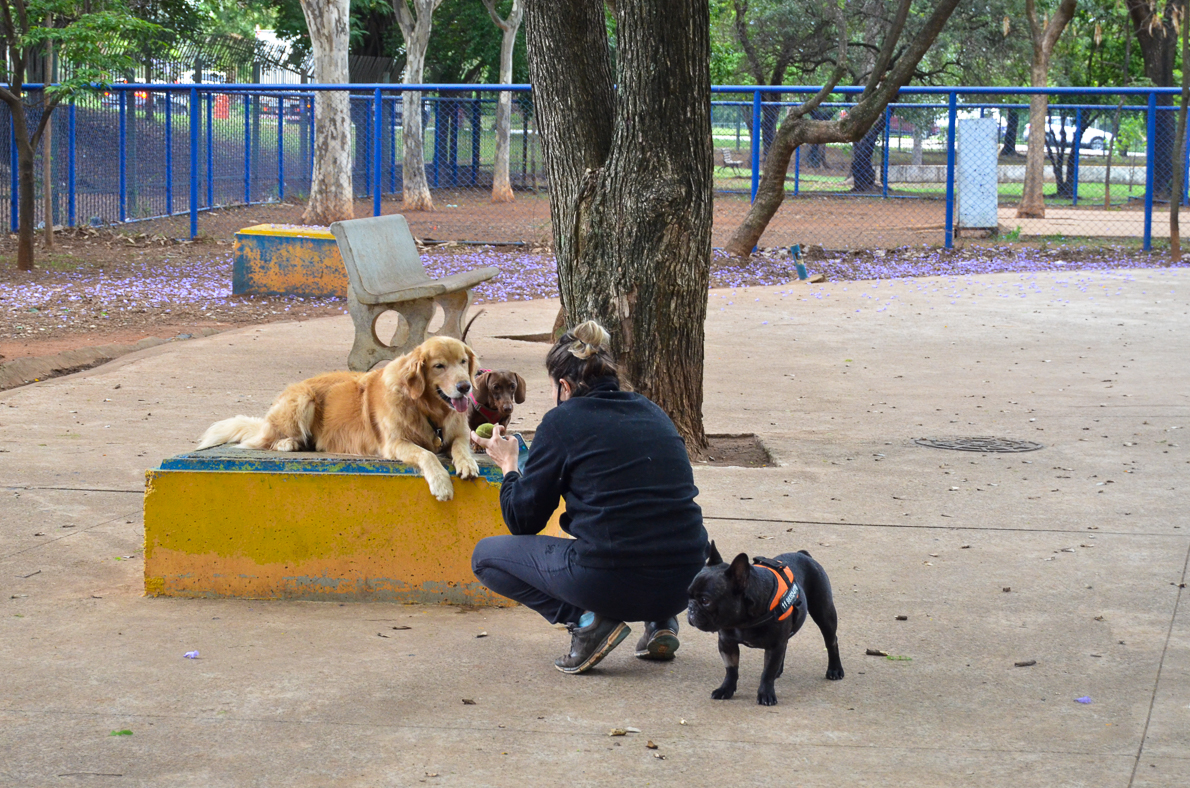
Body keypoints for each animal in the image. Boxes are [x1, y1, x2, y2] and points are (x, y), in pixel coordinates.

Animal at [198, 336, 481, 501]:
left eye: (462, 361)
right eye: (439, 366)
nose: (465, 386)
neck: (426, 408)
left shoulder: (459, 433)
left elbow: (460, 446)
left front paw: (467, 464)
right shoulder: (394, 443)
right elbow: (427, 454)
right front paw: (441, 484)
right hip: (303, 399)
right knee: (267, 441)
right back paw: (289, 443)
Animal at [687, 541, 844, 705]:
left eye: (705, 601)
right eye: (688, 594)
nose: (690, 607)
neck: (743, 620)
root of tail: (803, 554)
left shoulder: (774, 645)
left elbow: (767, 672)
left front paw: (766, 694)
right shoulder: (727, 643)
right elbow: (731, 669)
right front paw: (725, 689)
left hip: (824, 613)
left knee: (831, 641)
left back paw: (835, 669)